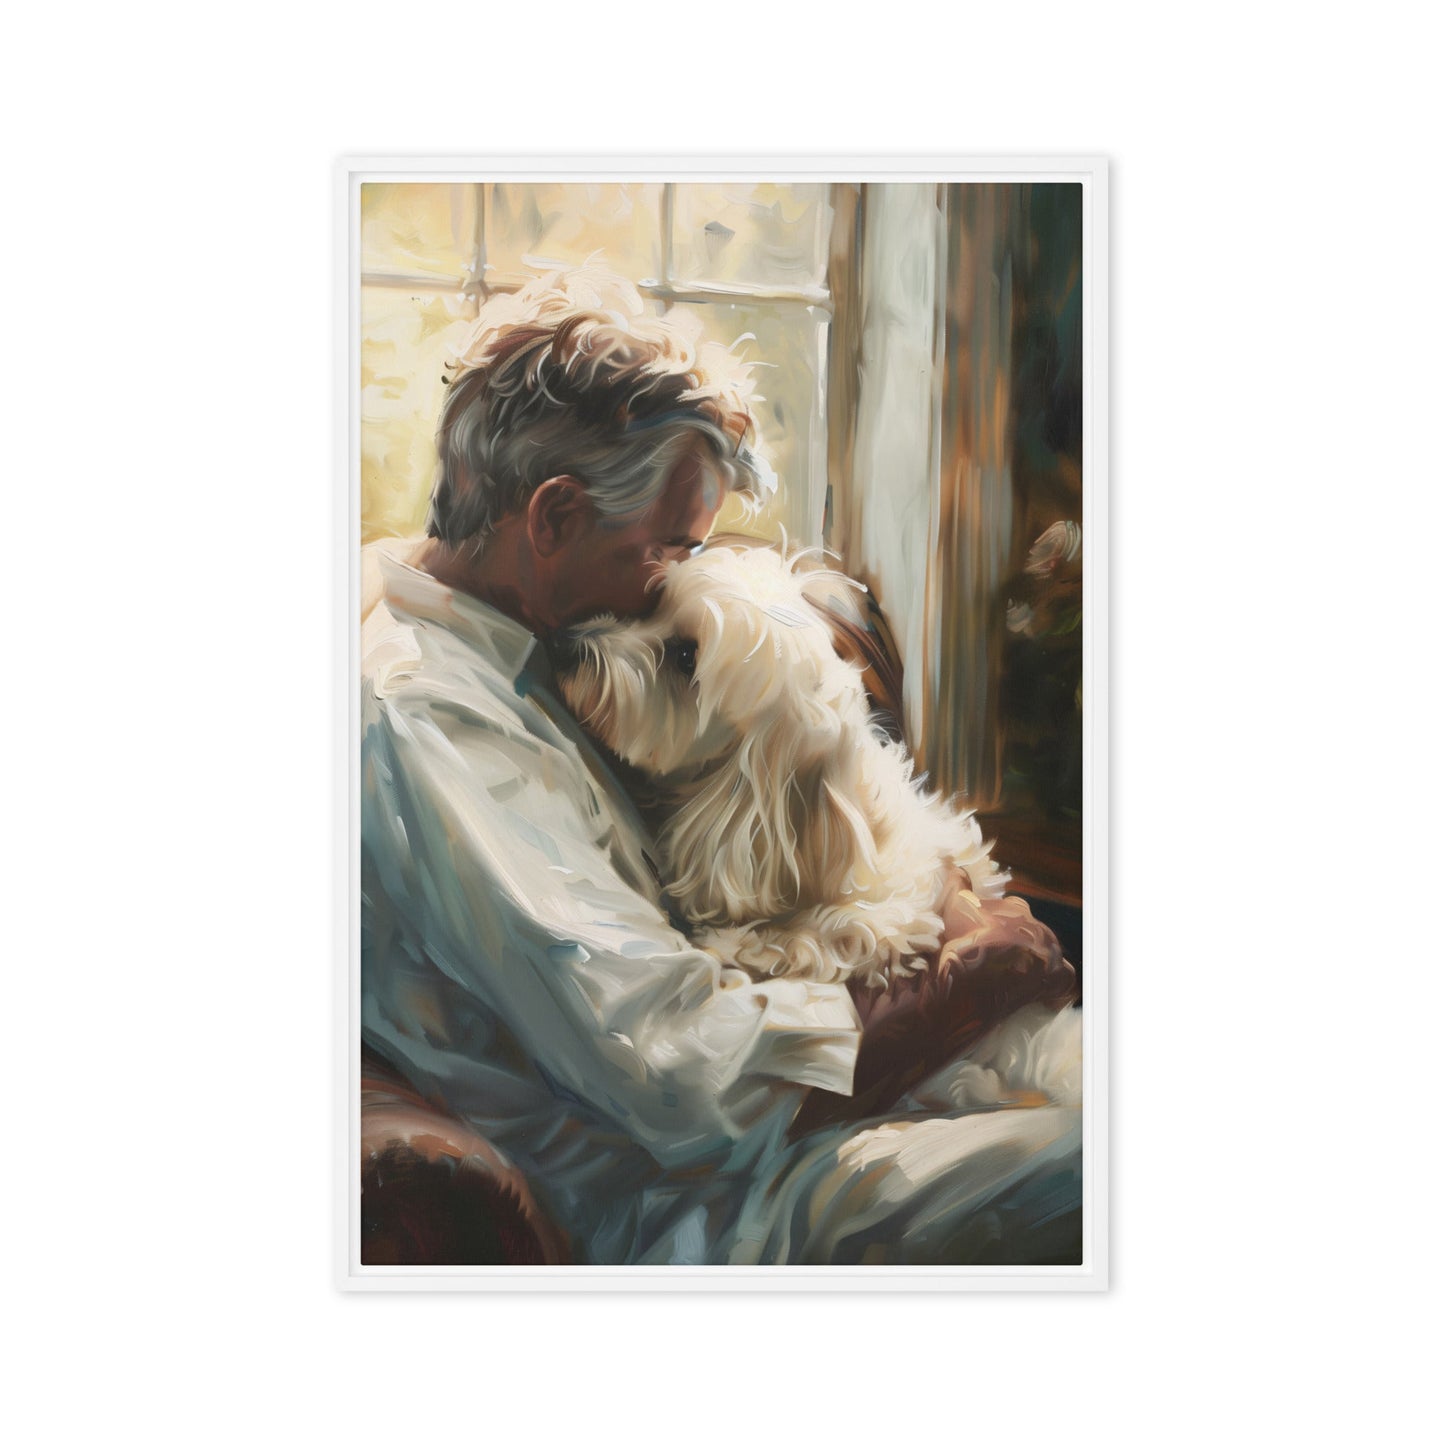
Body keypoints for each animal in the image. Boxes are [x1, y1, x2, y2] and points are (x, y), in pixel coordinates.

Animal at [557, 543, 1011, 994]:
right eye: (653, 606)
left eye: (686, 657)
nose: (569, 643)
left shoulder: (893, 910)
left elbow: (831, 934)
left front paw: (736, 943)